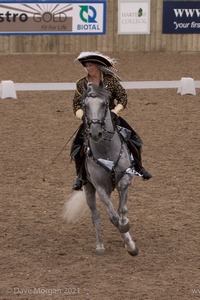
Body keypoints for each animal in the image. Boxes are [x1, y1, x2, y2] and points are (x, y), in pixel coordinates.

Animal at [64, 83, 138, 256]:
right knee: (95, 214)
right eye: (85, 105)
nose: (95, 132)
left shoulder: (126, 177)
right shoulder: (100, 187)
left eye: (104, 104)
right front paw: (129, 243)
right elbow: (113, 217)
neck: (107, 151)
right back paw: (100, 246)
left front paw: (129, 240)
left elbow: (122, 209)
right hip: (89, 189)